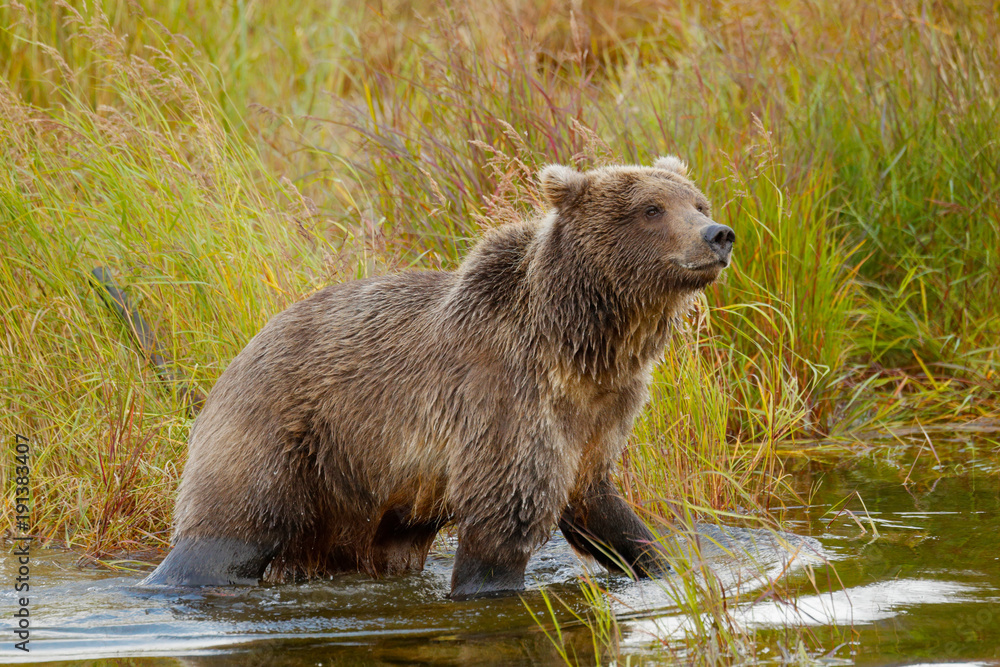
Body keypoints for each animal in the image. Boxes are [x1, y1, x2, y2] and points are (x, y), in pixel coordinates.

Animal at [140, 156, 735, 599]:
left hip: (351, 496)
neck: (583, 342)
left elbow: (598, 503)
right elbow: (505, 519)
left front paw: (663, 566)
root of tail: (237, 357)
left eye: (697, 202)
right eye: (652, 208)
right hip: (283, 438)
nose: (718, 234)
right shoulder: (505, 397)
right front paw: (490, 588)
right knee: (228, 531)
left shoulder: (600, 413)